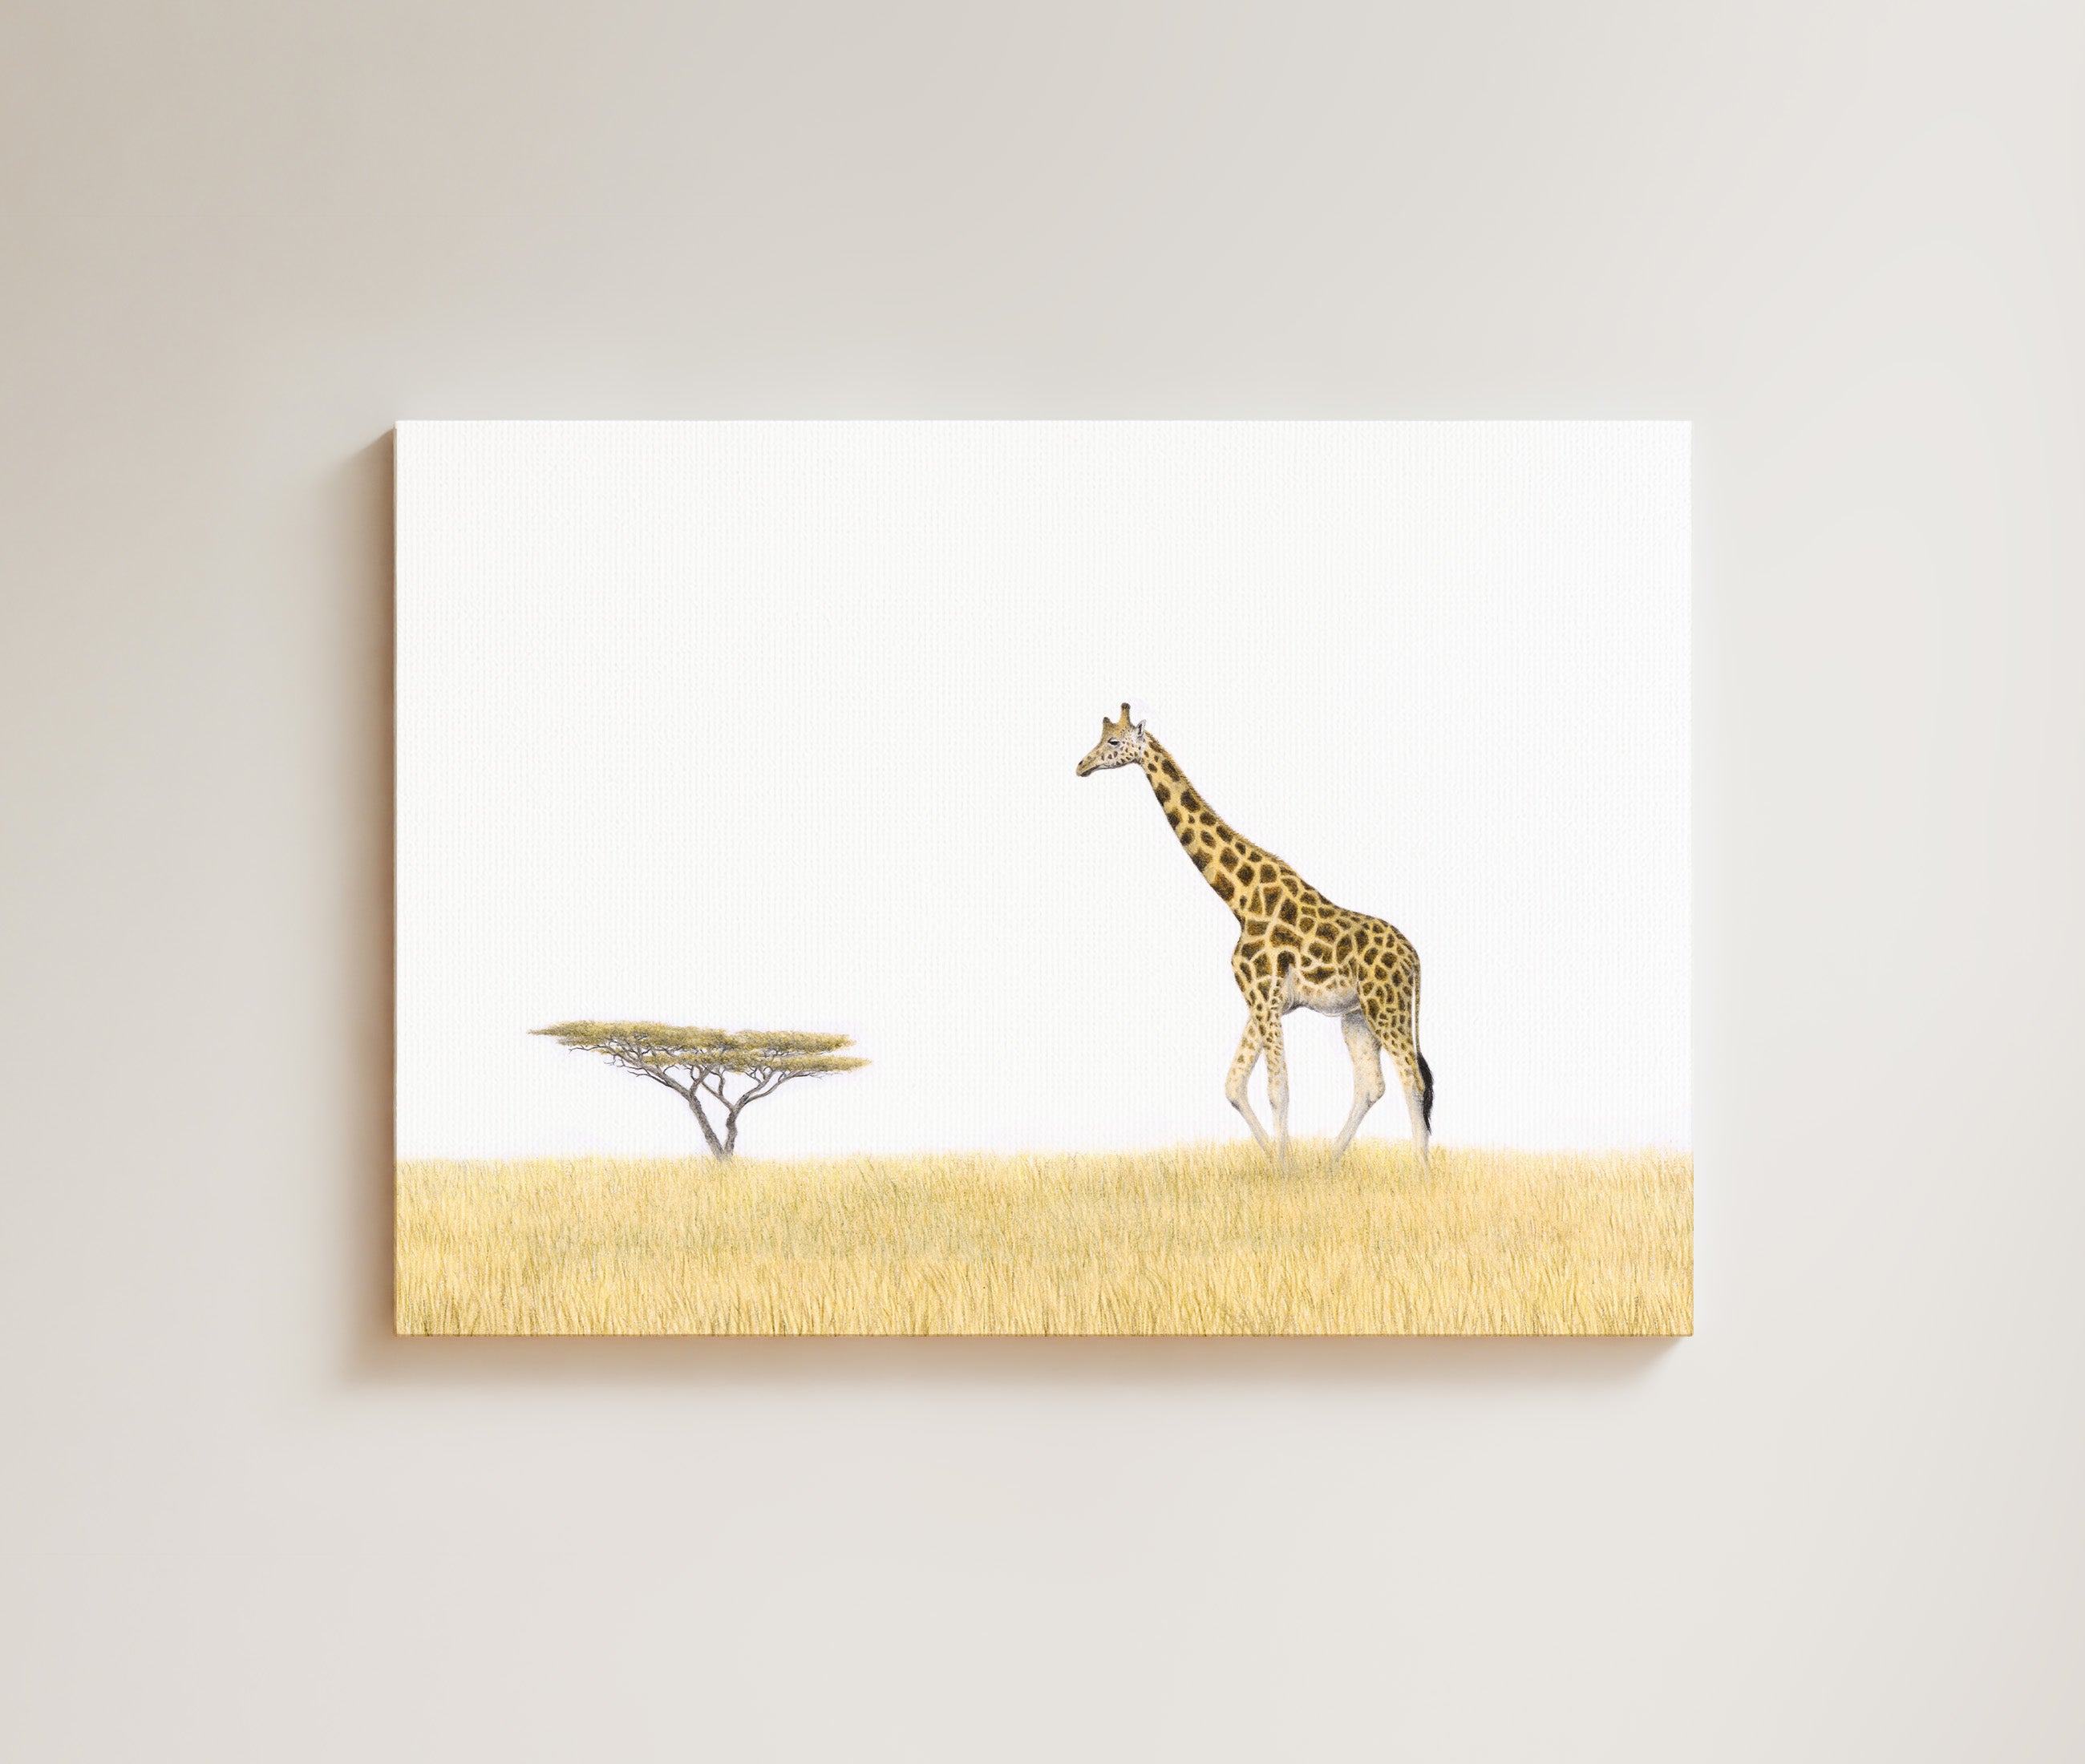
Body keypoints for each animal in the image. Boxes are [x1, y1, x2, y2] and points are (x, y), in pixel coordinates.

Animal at [1077, 704, 1432, 1171]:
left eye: (1114, 742)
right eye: (1100, 738)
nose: (1081, 765)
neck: (1241, 900)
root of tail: (1414, 957)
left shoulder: (1264, 997)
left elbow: (1277, 1089)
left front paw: (1285, 1170)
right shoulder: (1261, 1000)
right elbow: (1234, 1085)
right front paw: (1280, 1165)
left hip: (1385, 1008)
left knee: (1412, 1078)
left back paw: (1422, 1172)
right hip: (1357, 1017)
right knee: (1374, 1084)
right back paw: (1329, 1164)